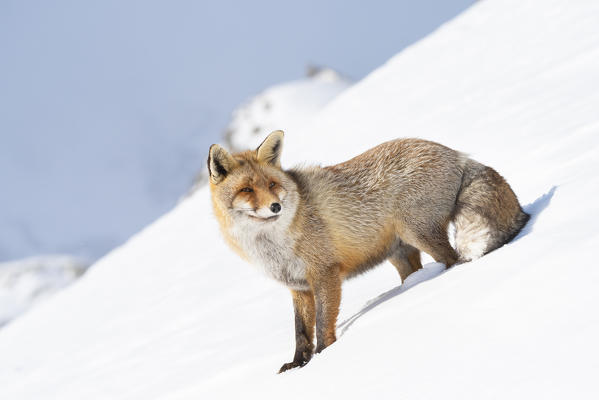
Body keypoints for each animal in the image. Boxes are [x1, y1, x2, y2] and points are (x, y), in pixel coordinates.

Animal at [207, 130, 528, 372]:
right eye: (247, 190)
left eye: (272, 184)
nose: (276, 206)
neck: (272, 244)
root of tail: (455, 153)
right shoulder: (298, 287)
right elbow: (300, 333)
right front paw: (298, 365)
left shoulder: (325, 274)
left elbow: (322, 325)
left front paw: (325, 356)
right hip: (400, 253)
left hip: (417, 232)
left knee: (454, 259)